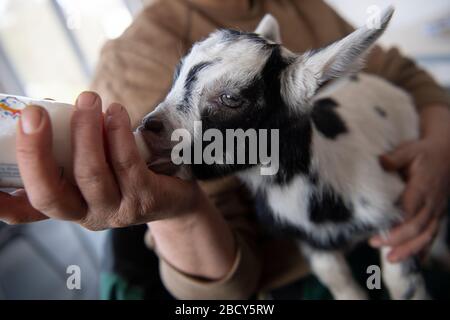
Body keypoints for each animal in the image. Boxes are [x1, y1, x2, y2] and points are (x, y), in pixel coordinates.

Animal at [142, 8, 446, 300]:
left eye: (230, 98)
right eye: (176, 76)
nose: (147, 129)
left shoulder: (394, 216)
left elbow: (401, 283)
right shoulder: (313, 245)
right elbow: (340, 283)